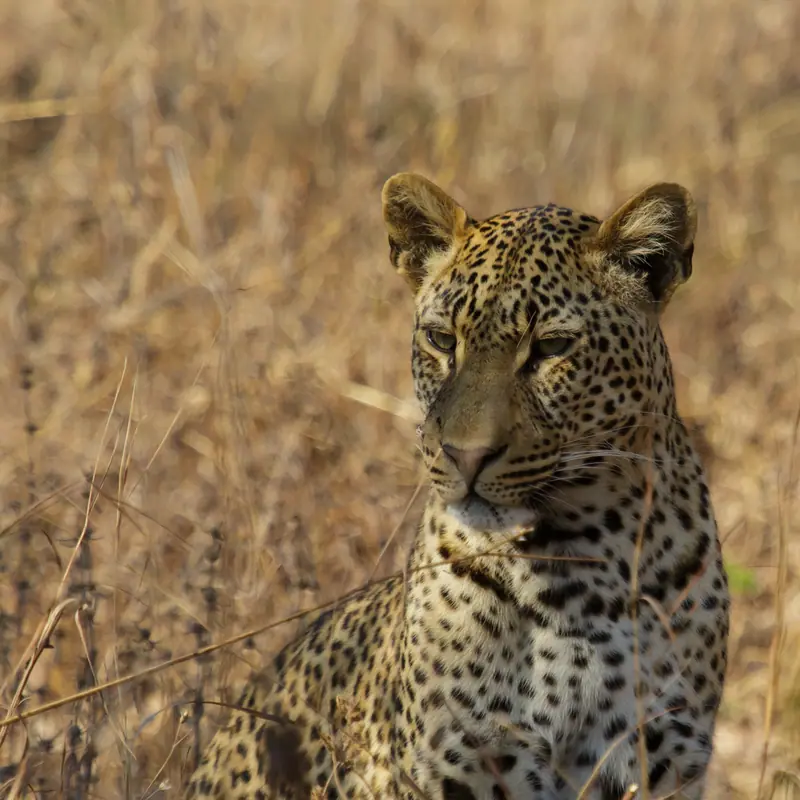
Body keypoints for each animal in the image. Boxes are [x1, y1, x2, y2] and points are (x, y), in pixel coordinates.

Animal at [185, 173, 730, 800]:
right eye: (442, 340)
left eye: (552, 347)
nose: (466, 455)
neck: (570, 566)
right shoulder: (462, 762)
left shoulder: (661, 762)